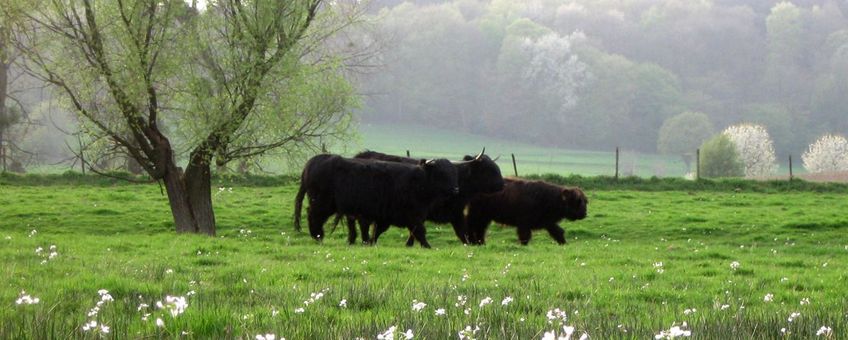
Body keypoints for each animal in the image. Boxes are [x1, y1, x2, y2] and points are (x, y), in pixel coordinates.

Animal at [294, 153, 460, 247]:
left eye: (453, 173)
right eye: (442, 173)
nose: (456, 189)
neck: (419, 182)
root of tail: (315, 160)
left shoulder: (386, 216)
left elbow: (378, 231)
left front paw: (370, 242)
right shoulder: (413, 215)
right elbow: (419, 231)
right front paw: (427, 246)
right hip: (322, 202)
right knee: (313, 215)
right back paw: (318, 236)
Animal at [346, 150, 500, 246]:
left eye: (454, 173)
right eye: (487, 168)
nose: (502, 184)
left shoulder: (456, 213)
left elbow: (462, 232)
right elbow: (415, 229)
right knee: (359, 222)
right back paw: (358, 240)